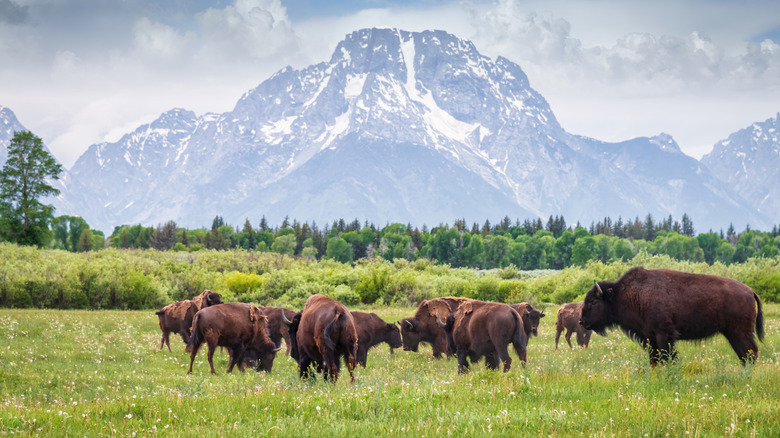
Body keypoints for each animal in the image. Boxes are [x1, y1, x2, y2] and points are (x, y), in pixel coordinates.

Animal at [580, 267, 764, 365]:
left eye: (594, 301)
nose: (582, 321)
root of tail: (750, 291)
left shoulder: (664, 335)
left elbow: (667, 358)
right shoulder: (650, 338)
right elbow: (654, 360)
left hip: (740, 333)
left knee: (750, 353)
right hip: (733, 334)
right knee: (746, 355)